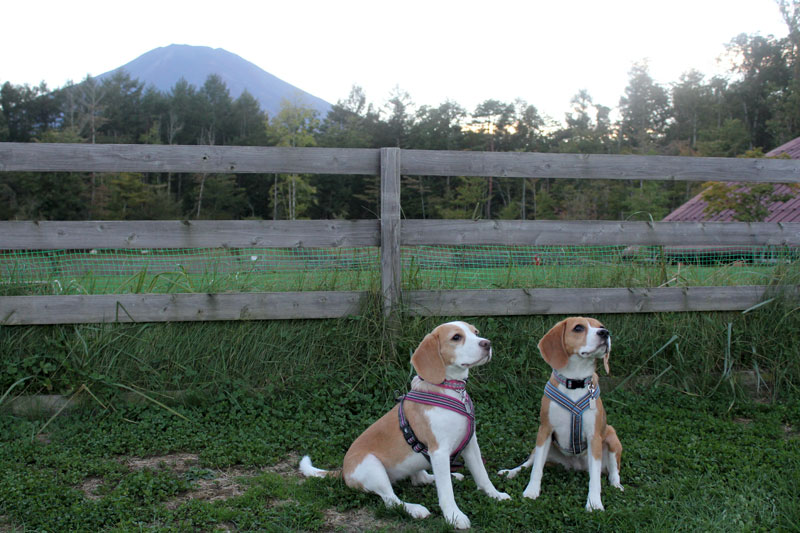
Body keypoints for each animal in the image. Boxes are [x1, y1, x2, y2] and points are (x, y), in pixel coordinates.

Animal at [300, 320, 512, 528]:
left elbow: (482, 475)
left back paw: (451, 477)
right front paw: (454, 516)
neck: (451, 390)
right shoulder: (439, 451)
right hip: (373, 466)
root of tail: (344, 472)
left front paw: (495, 495)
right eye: (456, 337)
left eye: (475, 332)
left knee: (421, 479)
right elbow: (446, 492)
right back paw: (415, 509)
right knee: (391, 500)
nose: (487, 344)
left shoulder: (471, 445)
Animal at [500, 318, 624, 510]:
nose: (605, 333)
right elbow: (536, 468)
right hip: (541, 446)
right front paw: (531, 491)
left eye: (601, 326)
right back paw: (510, 472)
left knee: (613, 471)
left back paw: (617, 485)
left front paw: (594, 502)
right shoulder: (544, 430)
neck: (575, 380)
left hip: (611, 436)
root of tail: (577, 465)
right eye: (578, 328)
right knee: (528, 463)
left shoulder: (594, 437)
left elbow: (595, 478)